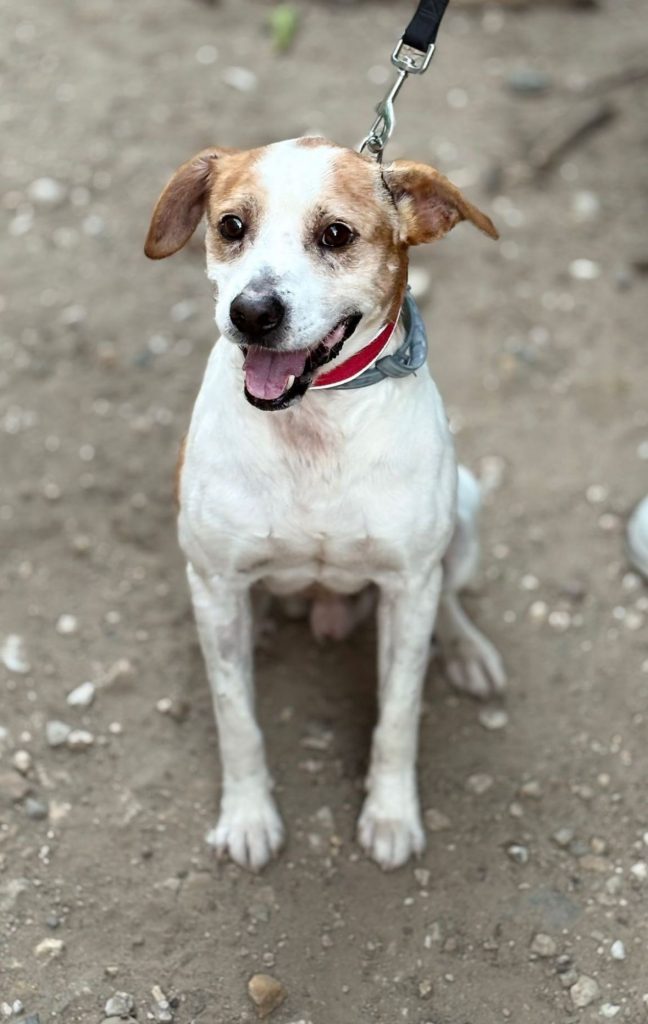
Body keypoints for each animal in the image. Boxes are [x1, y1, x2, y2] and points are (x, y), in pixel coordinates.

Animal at [145, 138, 505, 872]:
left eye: (335, 235)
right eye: (231, 225)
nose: (252, 313)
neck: (312, 422)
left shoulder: (408, 587)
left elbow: (398, 715)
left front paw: (391, 815)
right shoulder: (215, 586)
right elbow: (237, 717)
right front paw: (248, 816)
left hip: (464, 514)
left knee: (451, 597)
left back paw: (467, 649)